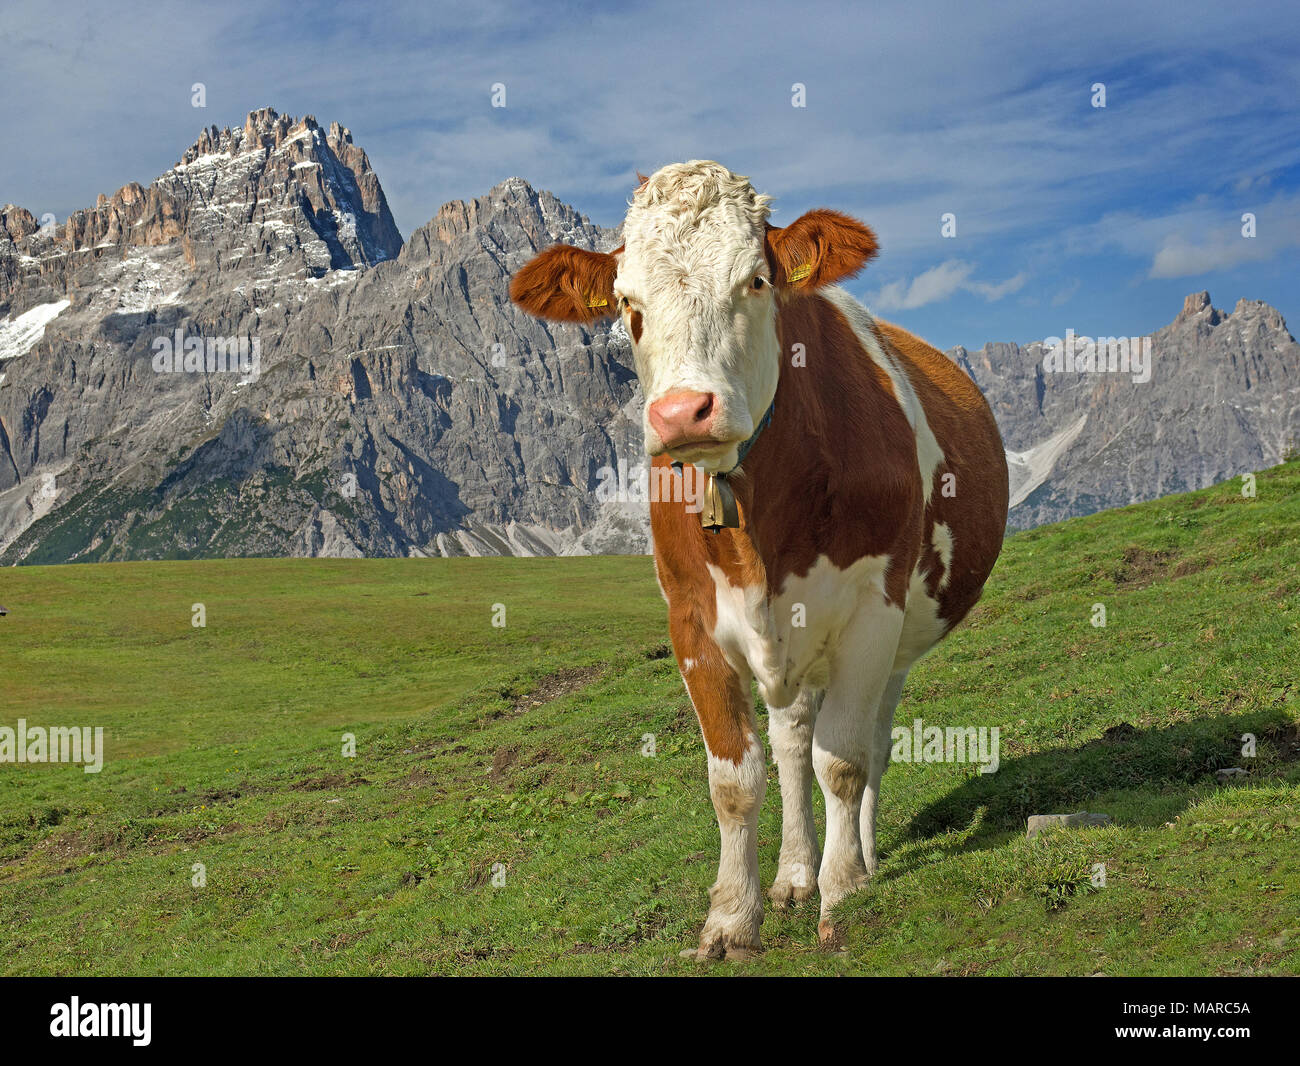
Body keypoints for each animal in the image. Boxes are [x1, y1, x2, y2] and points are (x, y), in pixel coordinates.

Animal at [506, 160, 1003, 967]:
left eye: (757, 280)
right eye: (627, 303)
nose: (682, 413)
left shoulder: (873, 609)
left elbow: (845, 761)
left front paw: (845, 895)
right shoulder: (691, 623)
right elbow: (736, 780)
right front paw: (733, 919)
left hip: (896, 642)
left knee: (869, 743)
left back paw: (861, 861)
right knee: (793, 738)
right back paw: (796, 873)